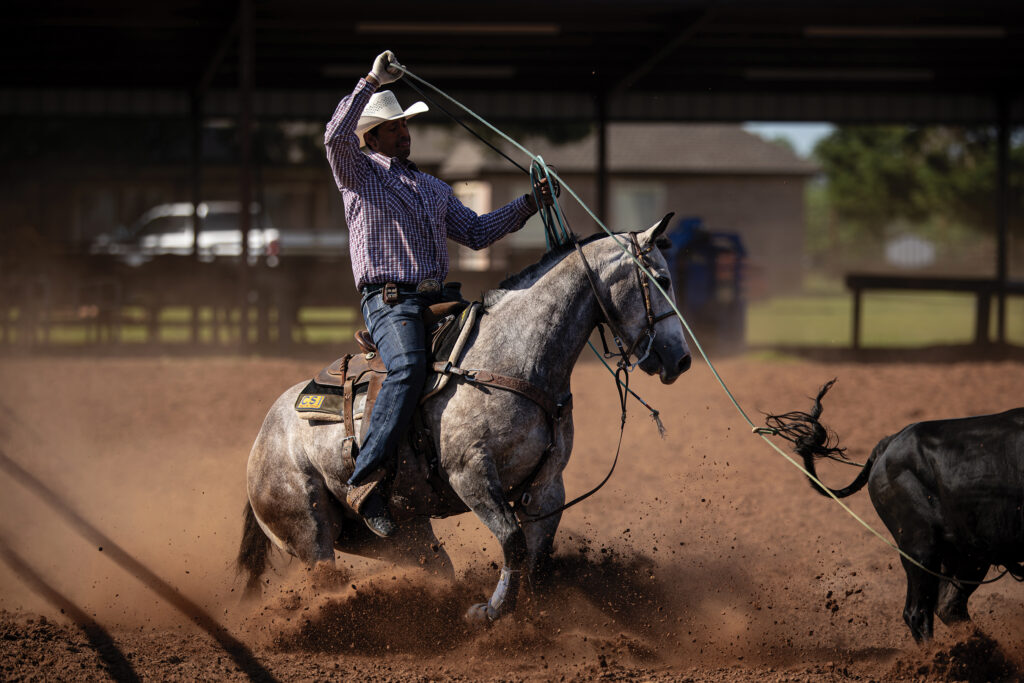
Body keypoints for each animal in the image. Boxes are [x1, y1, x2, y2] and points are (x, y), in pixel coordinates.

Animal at [237, 216, 692, 624]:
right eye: (662, 281)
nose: (682, 360)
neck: (513, 359)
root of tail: (261, 441)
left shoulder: (548, 487)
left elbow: (538, 560)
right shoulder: (470, 473)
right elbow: (512, 541)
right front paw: (488, 613)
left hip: (401, 537)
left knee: (435, 565)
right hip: (310, 535)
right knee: (324, 576)